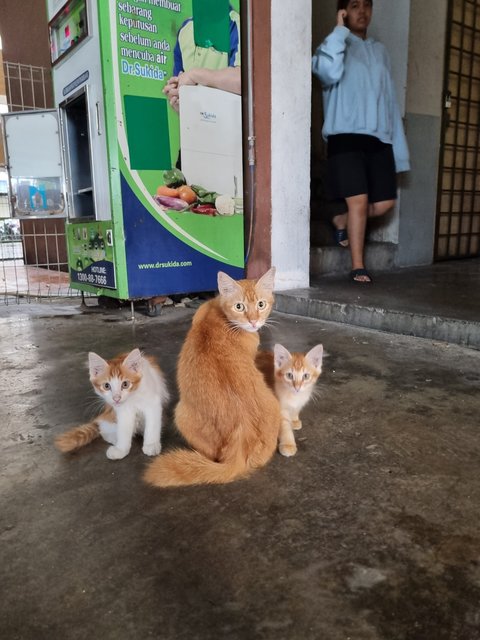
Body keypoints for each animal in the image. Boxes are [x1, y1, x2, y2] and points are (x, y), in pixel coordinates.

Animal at [142, 268, 280, 488]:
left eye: (261, 304)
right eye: (239, 306)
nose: (253, 321)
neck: (218, 312)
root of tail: (241, 440)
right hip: (180, 414)